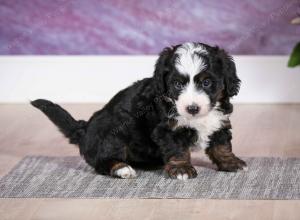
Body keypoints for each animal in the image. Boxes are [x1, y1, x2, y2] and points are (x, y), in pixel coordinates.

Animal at [31, 41, 246, 180]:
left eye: (207, 82)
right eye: (177, 84)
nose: (192, 108)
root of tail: (85, 129)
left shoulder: (220, 121)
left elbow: (221, 145)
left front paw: (231, 163)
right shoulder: (167, 129)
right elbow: (178, 149)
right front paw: (182, 169)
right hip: (113, 131)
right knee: (103, 161)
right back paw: (122, 169)